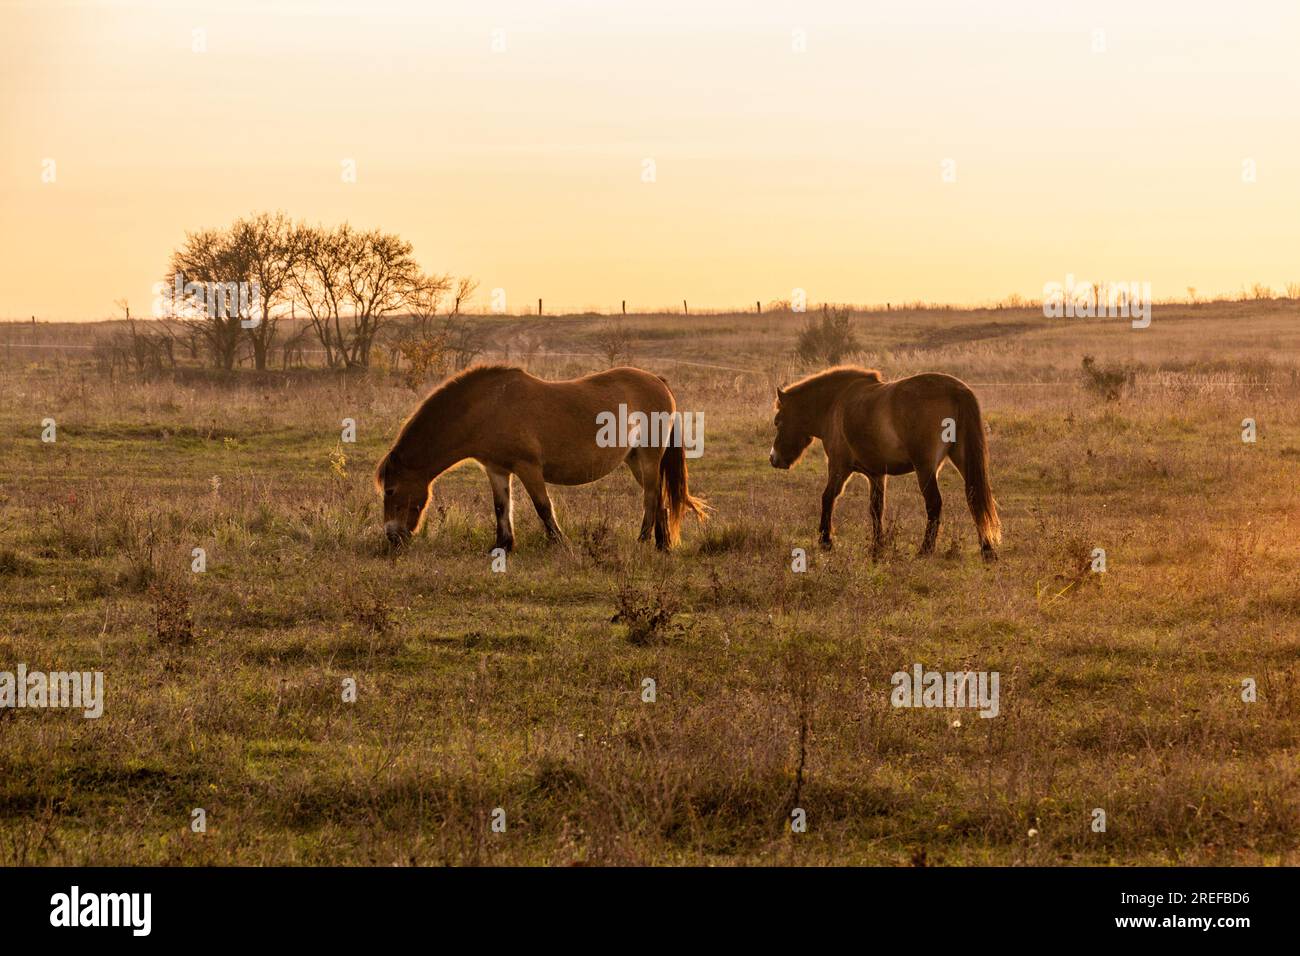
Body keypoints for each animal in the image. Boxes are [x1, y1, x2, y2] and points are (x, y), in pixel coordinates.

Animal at [377, 369, 707, 556]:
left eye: (391, 490)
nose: (392, 537)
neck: (488, 407)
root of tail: (658, 382)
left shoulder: (528, 467)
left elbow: (543, 507)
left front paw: (560, 544)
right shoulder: (497, 469)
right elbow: (501, 507)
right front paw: (502, 545)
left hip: (649, 457)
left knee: (651, 498)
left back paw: (642, 541)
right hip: (636, 460)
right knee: (660, 499)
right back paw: (662, 546)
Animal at [764, 366, 998, 561]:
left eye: (778, 422)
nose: (773, 458)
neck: (836, 404)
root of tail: (957, 390)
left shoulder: (839, 467)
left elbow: (828, 497)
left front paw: (826, 541)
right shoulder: (876, 474)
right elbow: (876, 508)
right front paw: (878, 547)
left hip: (925, 468)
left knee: (934, 504)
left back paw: (925, 550)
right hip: (962, 460)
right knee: (974, 499)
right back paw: (987, 550)